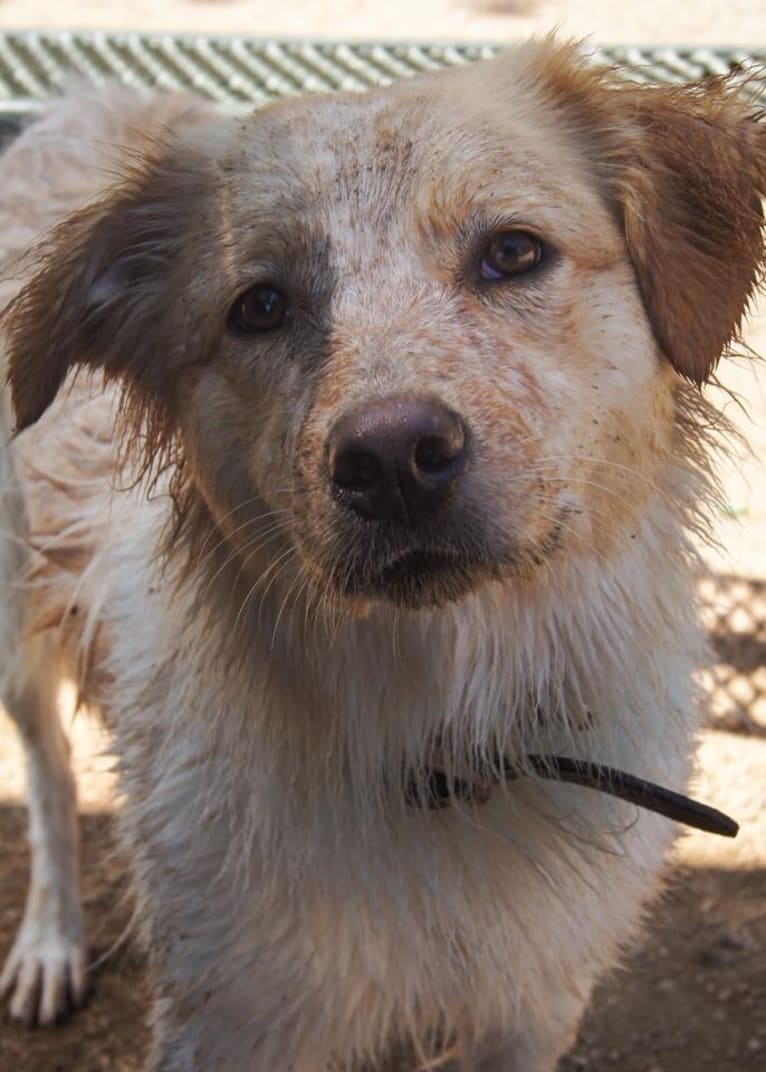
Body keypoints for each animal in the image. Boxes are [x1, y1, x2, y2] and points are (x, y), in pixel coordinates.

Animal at [0, 39, 762, 1072]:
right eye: (260, 306)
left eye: (513, 251)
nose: (393, 459)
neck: (446, 734)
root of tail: (81, 104)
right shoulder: (229, 1019)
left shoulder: (533, 1009)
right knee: (47, 773)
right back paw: (49, 941)